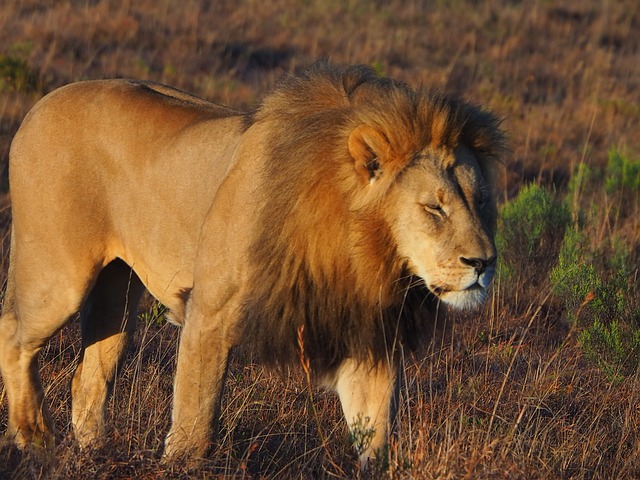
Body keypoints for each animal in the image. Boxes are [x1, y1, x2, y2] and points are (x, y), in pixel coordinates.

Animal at [0, 60, 504, 464]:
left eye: (481, 201)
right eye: (434, 208)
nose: (483, 263)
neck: (361, 252)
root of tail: (40, 104)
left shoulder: (367, 338)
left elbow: (375, 435)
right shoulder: (210, 313)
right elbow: (195, 420)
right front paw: (180, 465)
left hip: (116, 291)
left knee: (89, 378)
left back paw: (92, 454)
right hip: (59, 274)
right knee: (14, 333)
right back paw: (35, 440)